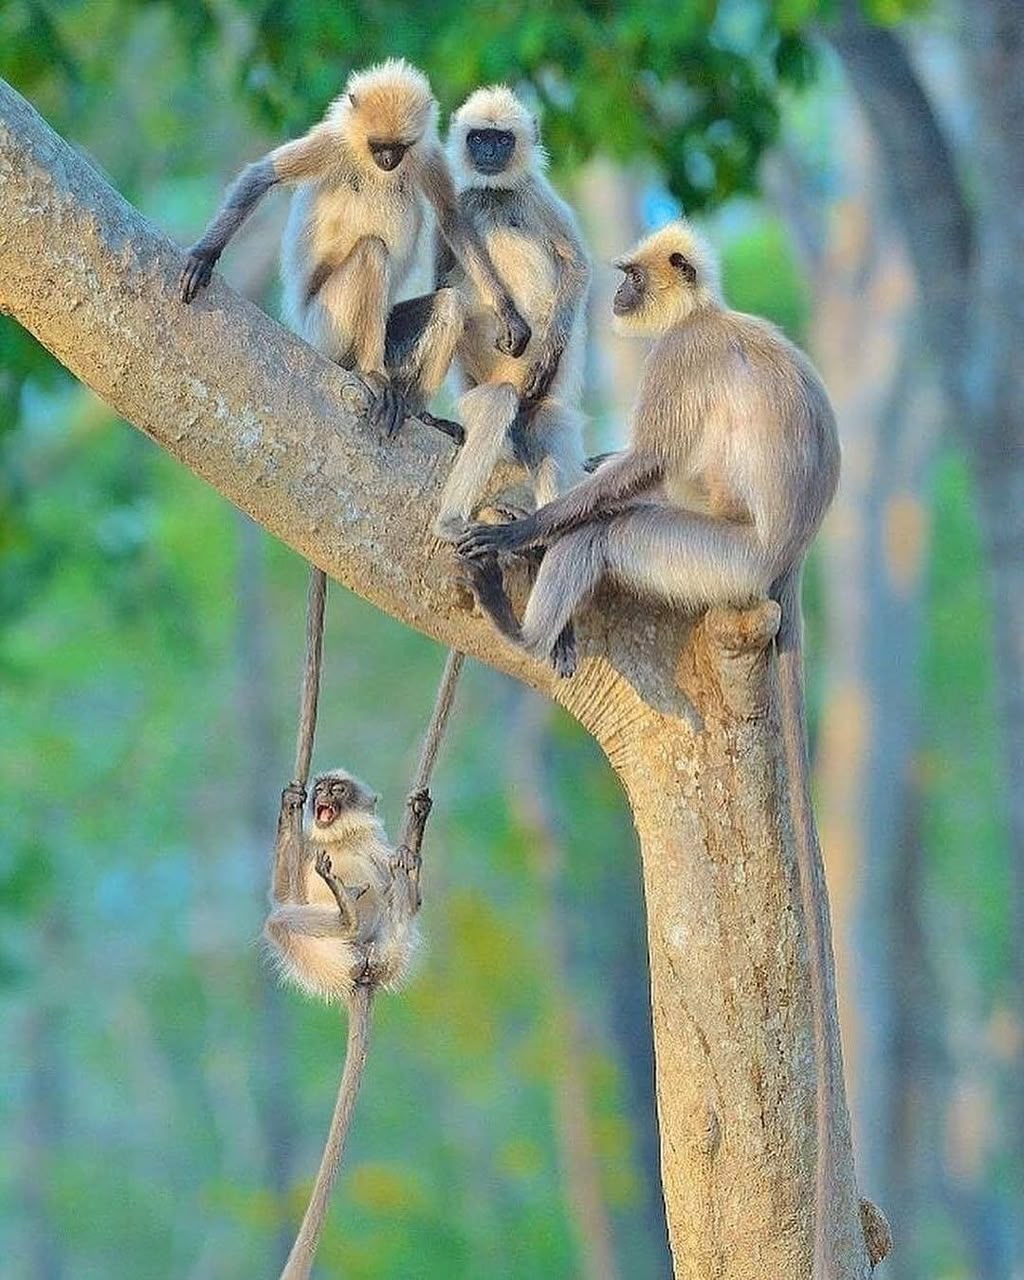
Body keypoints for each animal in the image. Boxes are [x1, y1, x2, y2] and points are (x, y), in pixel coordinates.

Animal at [179, 59, 530, 438]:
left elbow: (452, 219)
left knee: (450, 303)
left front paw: (508, 313)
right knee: (373, 252)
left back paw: (419, 412)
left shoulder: (427, 153)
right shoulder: (333, 142)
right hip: (325, 328)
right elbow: (261, 177)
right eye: (377, 145)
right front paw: (203, 256)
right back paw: (372, 374)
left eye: (399, 147)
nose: (388, 159)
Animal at [264, 768, 432, 1280]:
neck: (338, 840)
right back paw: (344, 916)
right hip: (323, 959)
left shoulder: (377, 848)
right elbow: (283, 895)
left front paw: (413, 839)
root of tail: (363, 972)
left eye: (337, 789)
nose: (320, 794)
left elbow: (413, 895)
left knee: (397, 904)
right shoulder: (305, 853)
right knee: (281, 922)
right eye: (321, 787)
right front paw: (289, 801)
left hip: (391, 949)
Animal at [431, 85, 590, 541]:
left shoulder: (535, 195)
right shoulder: (461, 202)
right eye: (479, 138)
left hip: (538, 400)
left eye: (501, 139)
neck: (494, 194)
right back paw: (451, 520)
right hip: (481, 394)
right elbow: (441, 282)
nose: (488, 153)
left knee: (547, 427)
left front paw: (549, 350)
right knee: (497, 404)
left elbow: (577, 267)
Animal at [457, 221, 882, 1275]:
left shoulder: (681, 360)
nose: (614, 300)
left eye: (630, 278)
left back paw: (527, 624)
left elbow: (644, 467)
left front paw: (526, 530)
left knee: (614, 534)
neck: (708, 316)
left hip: (709, 561)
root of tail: (785, 564)